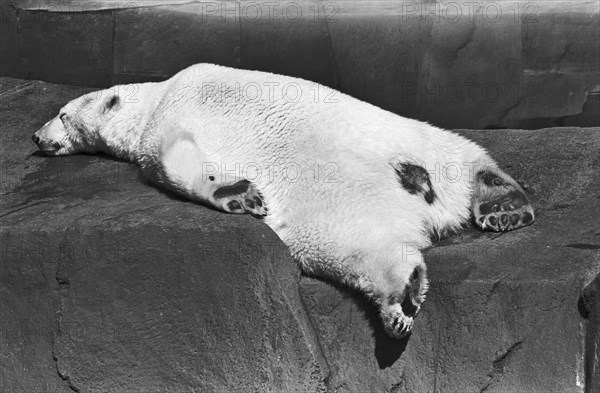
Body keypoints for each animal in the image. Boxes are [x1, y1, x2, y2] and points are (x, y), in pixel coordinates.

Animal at [31, 63, 536, 336]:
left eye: (61, 114)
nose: (36, 136)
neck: (158, 95)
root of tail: (419, 189)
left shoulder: (166, 123)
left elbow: (181, 164)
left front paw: (241, 195)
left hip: (337, 197)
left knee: (357, 246)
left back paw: (401, 298)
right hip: (414, 139)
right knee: (467, 162)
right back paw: (502, 205)